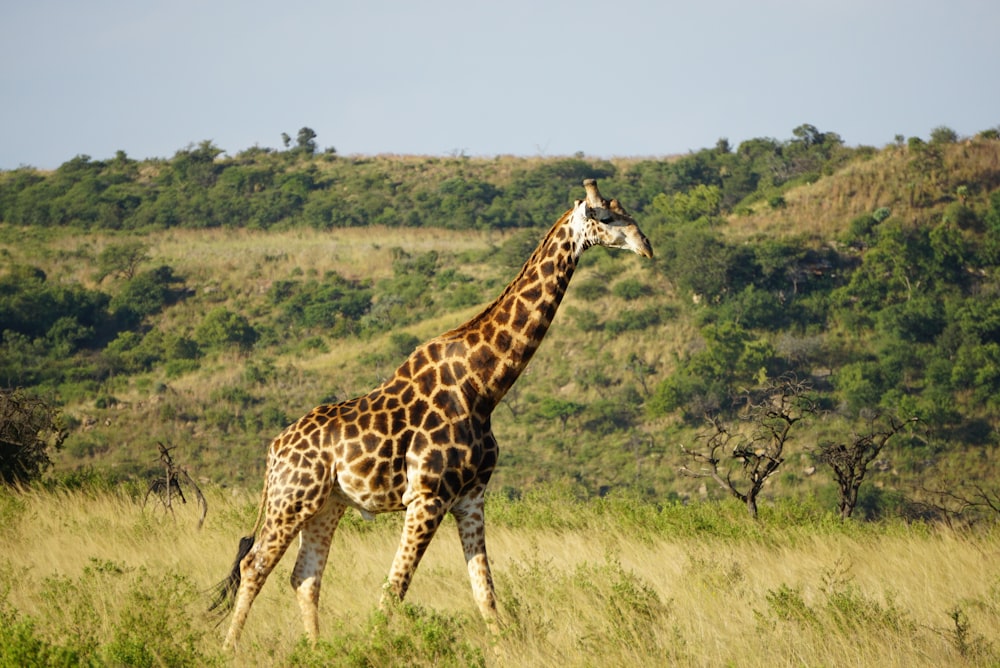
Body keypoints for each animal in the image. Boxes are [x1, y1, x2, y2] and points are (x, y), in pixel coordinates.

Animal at [209, 177, 656, 648]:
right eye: (604, 216)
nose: (645, 245)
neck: (484, 386)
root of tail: (274, 449)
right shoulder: (427, 496)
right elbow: (395, 589)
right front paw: (377, 649)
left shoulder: (471, 498)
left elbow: (485, 594)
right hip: (292, 498)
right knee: (255, 565)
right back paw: (230, 648)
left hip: (328, 504)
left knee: (305, 576)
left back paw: (316, 649)